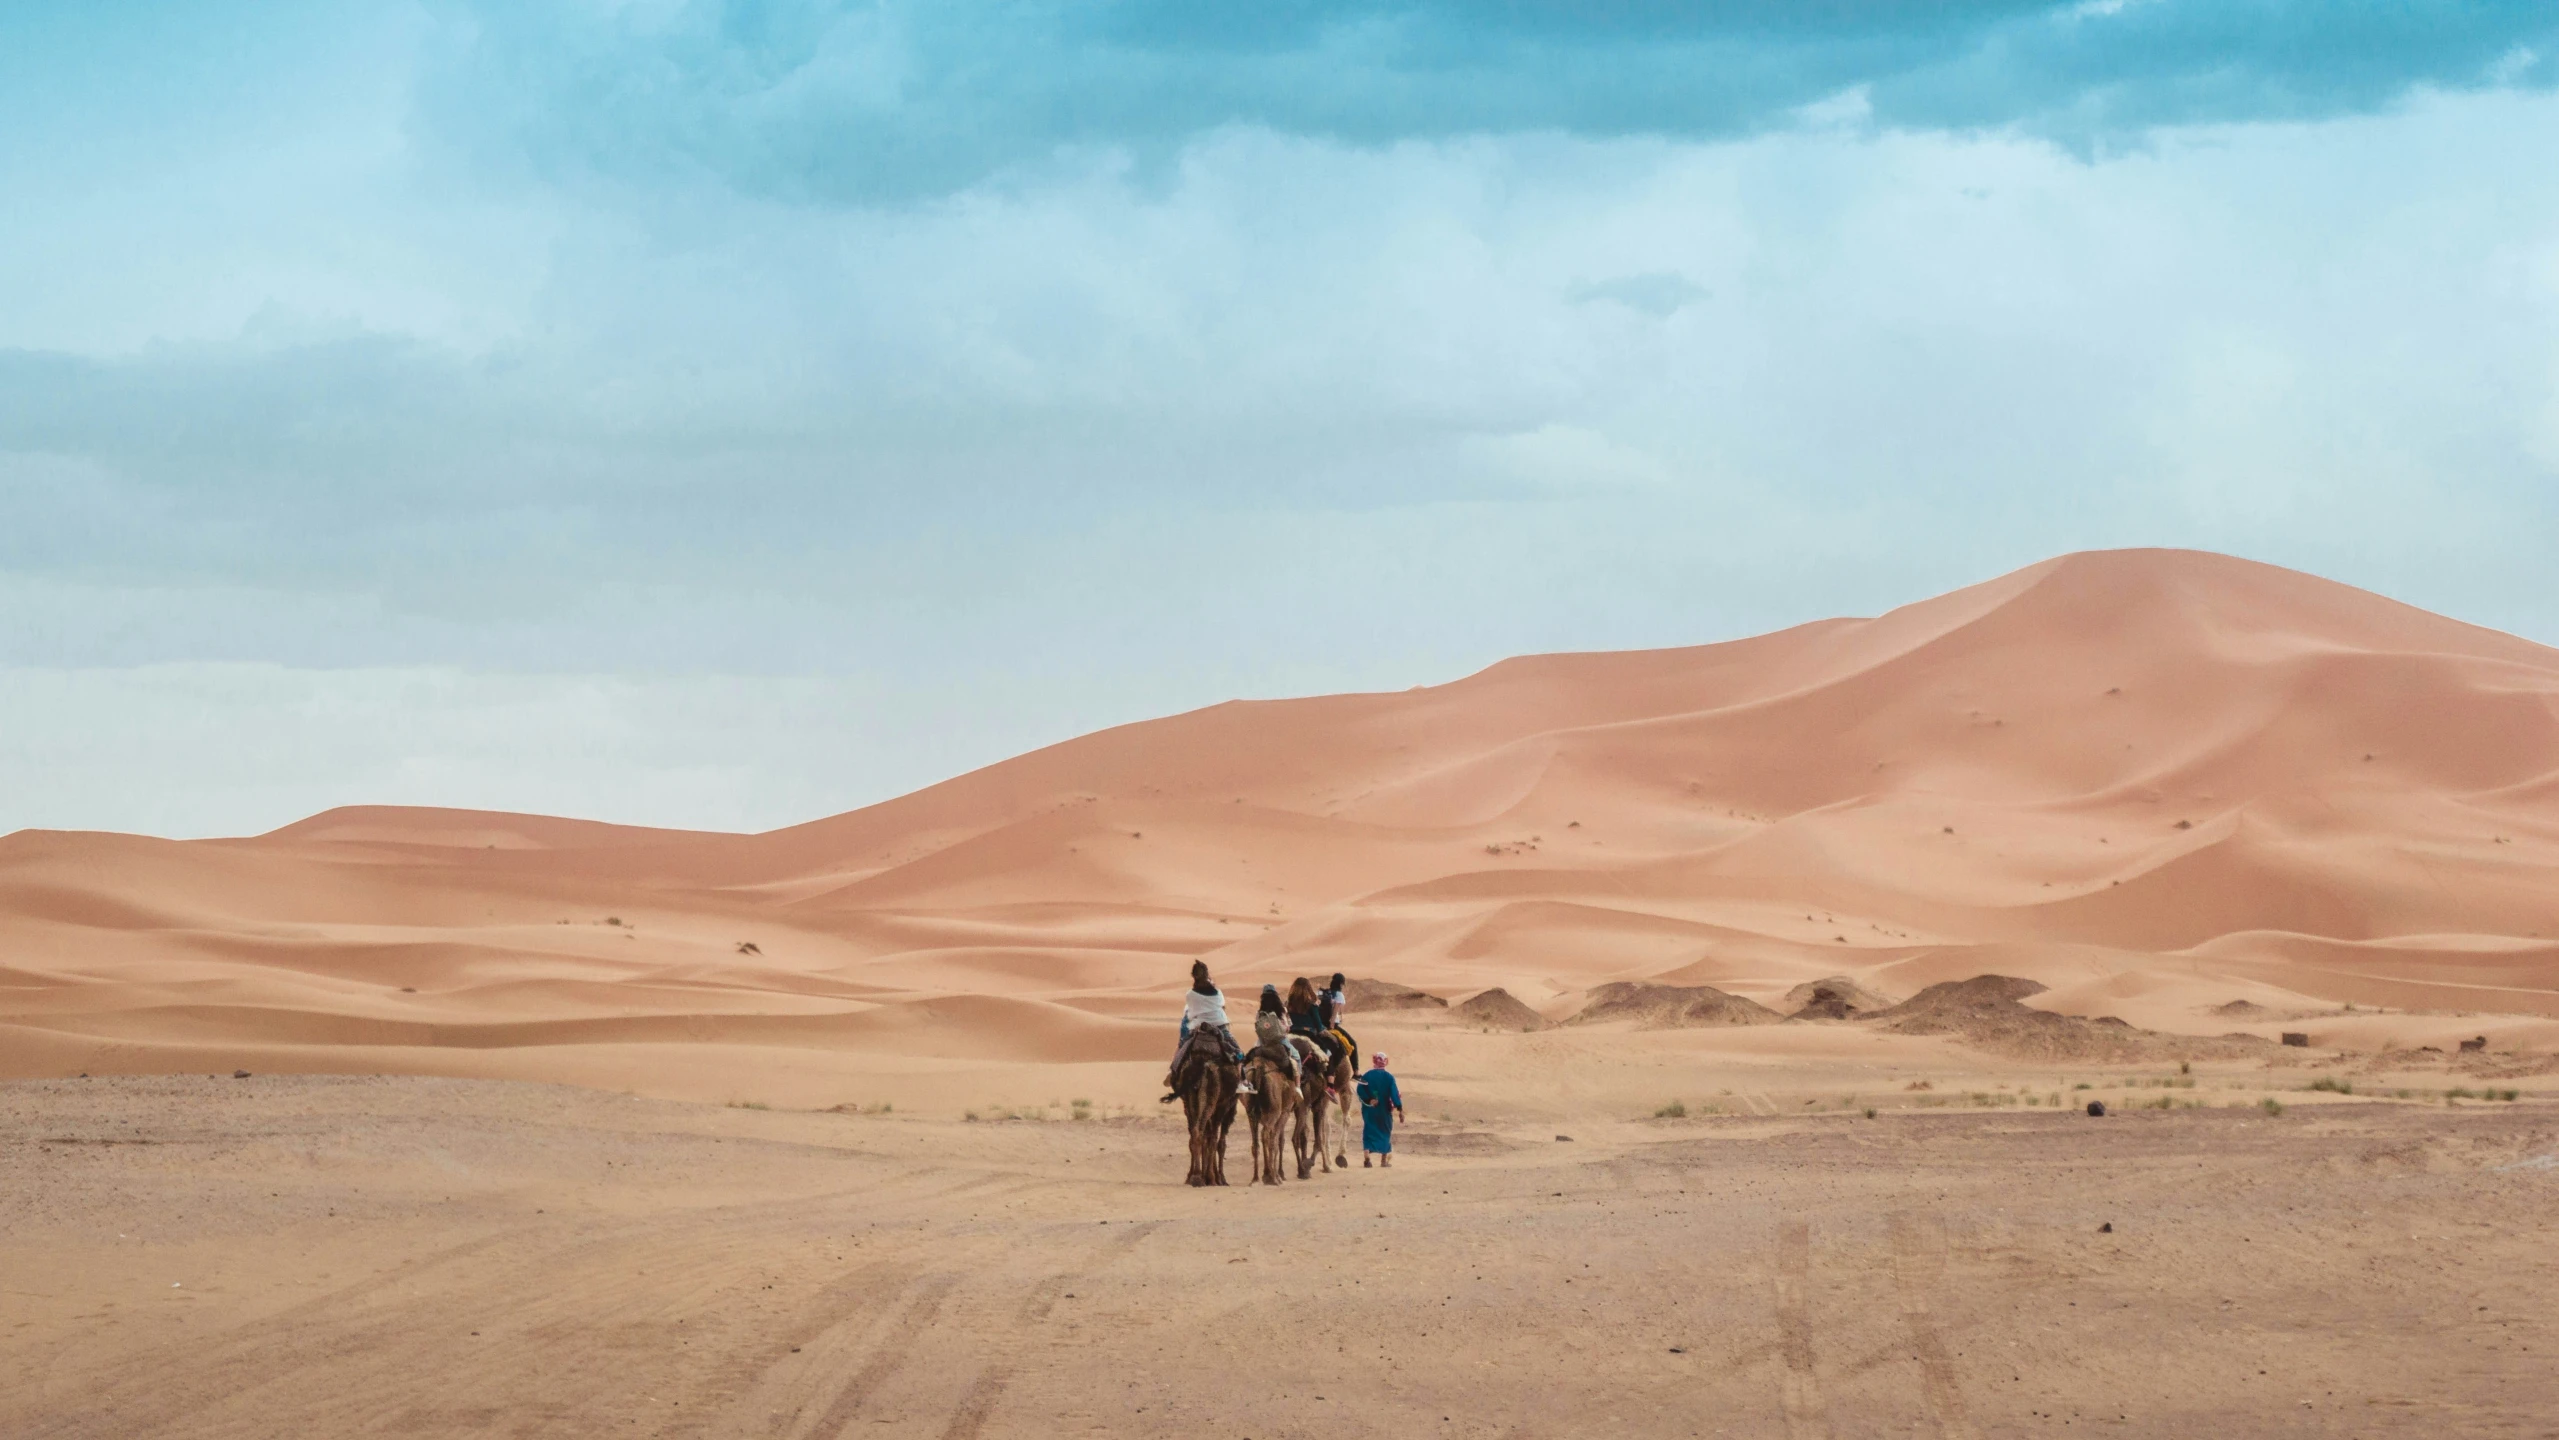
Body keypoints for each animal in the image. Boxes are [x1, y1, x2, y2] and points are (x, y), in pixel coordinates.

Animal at [1172, 1033, 1238, 1186]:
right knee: (1209, 1135)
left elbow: (1207, 1138)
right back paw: (1206, 1177)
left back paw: (1195, 1176)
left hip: (1190, 1097)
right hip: (1213, 1097)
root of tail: (1201, 1060)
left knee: (1196, 1132)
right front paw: (1219, 1178)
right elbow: (1218, 1142)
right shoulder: (1225, 1106)